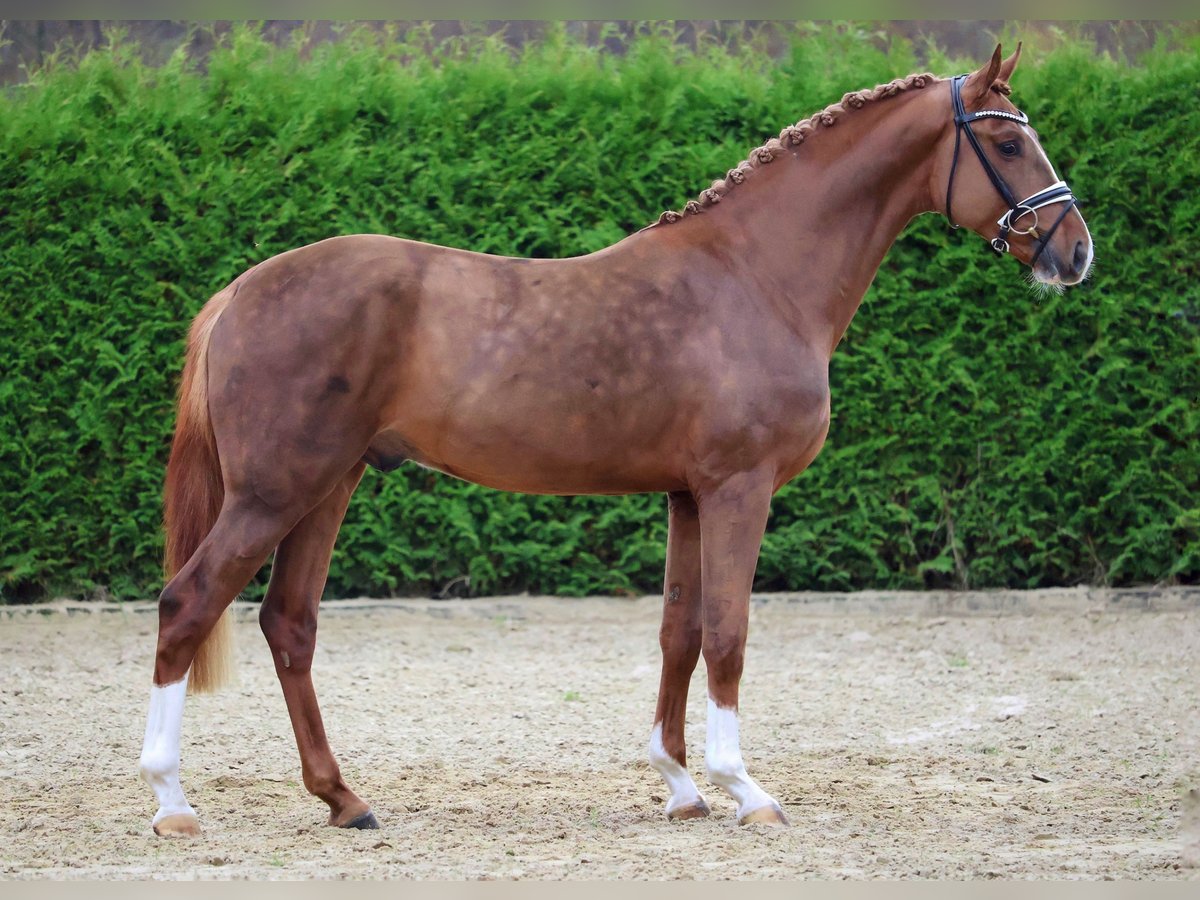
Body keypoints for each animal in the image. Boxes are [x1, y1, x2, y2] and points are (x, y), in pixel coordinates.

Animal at [138, 44, 1089, 840]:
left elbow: (680, 630)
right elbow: (729, 630)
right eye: (1008, 142)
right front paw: (745, 789)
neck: (754, 276)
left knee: (289, 624)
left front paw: (681, 785)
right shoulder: (739, 488)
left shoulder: (687, 495)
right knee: (189, 604)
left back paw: (344, 799)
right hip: (274, 493)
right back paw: (173, 802)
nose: (1075, 253)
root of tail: (239, 293)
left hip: (327, 486)